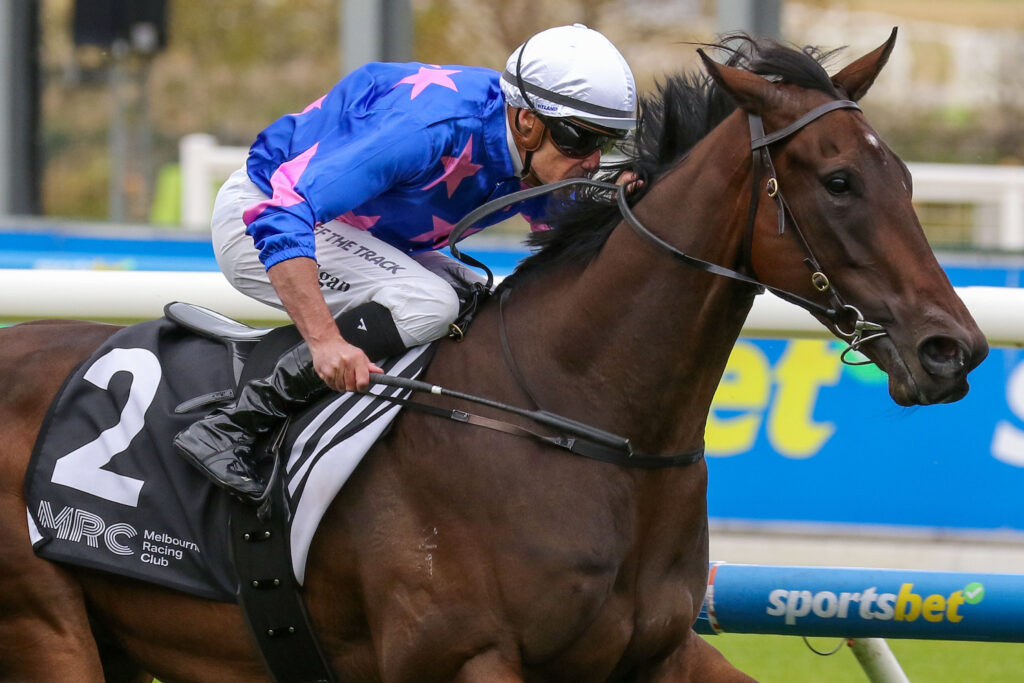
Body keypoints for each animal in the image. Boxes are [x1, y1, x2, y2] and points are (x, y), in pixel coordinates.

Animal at [0, 32, 988, 682]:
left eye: (905, 177)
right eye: (839, 181)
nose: (954, 348)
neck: (584, 420)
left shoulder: (658, 652)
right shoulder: (466, 658)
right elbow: (301, 205)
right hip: (47, 631)